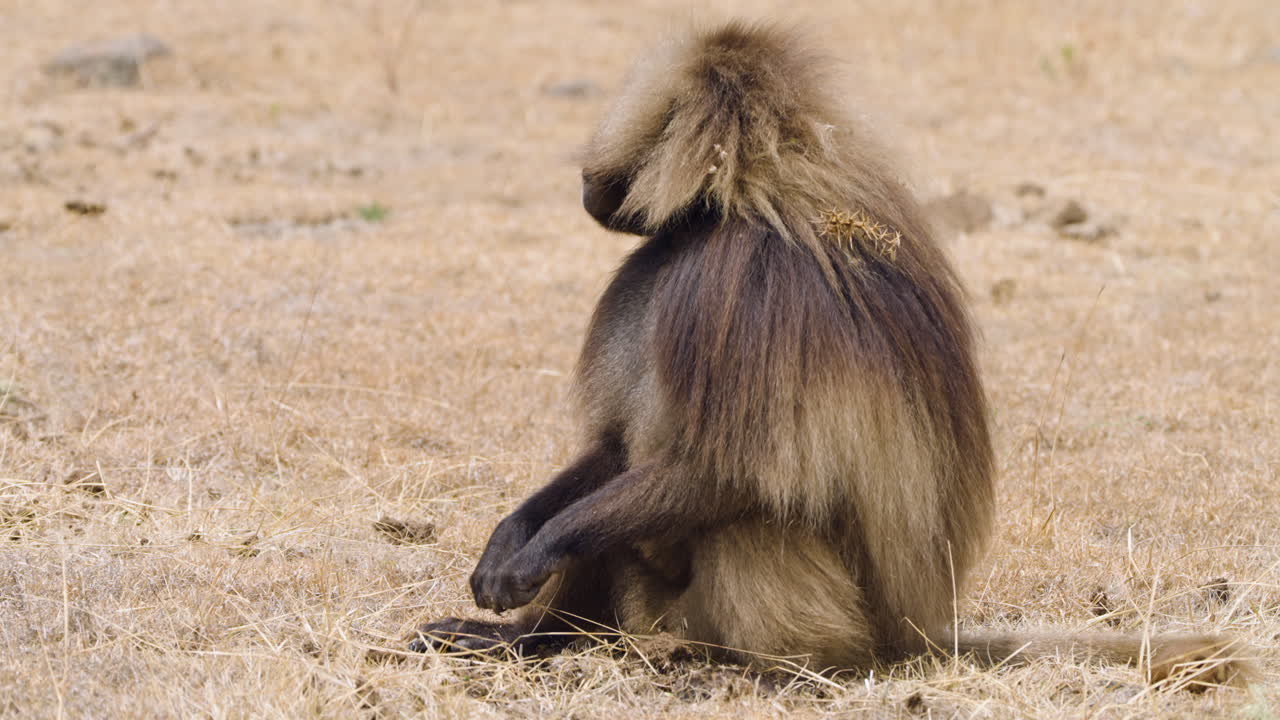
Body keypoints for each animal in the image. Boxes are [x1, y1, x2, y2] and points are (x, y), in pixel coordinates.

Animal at [411, 21, 1252, 690]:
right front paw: (509, 543)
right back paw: (520, 644)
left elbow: (729, 470)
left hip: (799, 617)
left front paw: (533, 555)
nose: (586, 181)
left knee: (750, 506)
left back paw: (763, 669)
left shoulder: (747, 283)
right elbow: (614, 447)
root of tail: (912, 631)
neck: (725, 209)